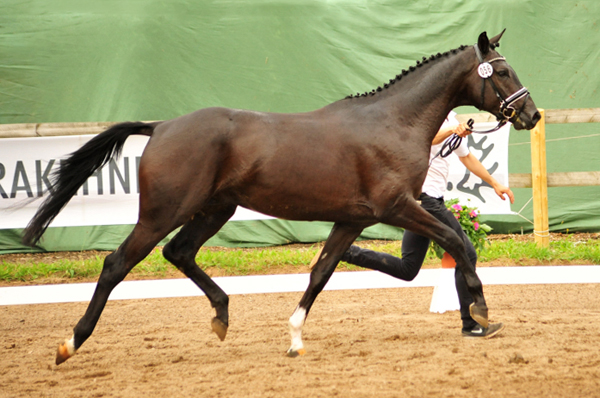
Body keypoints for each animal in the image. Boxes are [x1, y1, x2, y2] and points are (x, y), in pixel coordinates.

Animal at [22, 29, 540, 362]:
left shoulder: (352, 219)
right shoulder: (398, 207)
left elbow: (321, 272)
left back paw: (222, 316)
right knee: (117, 264)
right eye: (503, 72)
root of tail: (162, 127)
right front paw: (481, 312)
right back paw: (71, 343)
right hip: (163, 213)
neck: (394, 122)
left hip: (214, 209)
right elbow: (455, 244)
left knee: (179, 252)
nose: (531, 115)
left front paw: (294, 338)